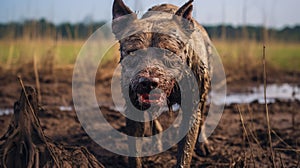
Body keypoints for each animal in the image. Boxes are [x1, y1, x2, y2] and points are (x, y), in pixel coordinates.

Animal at [112, 0, 213, 167]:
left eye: (168, 52)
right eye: (133, 52)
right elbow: (135, 153)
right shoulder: (134, 108)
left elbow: (184, 152)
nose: (148, 82)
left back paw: (203, 143)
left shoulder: (192, 110)